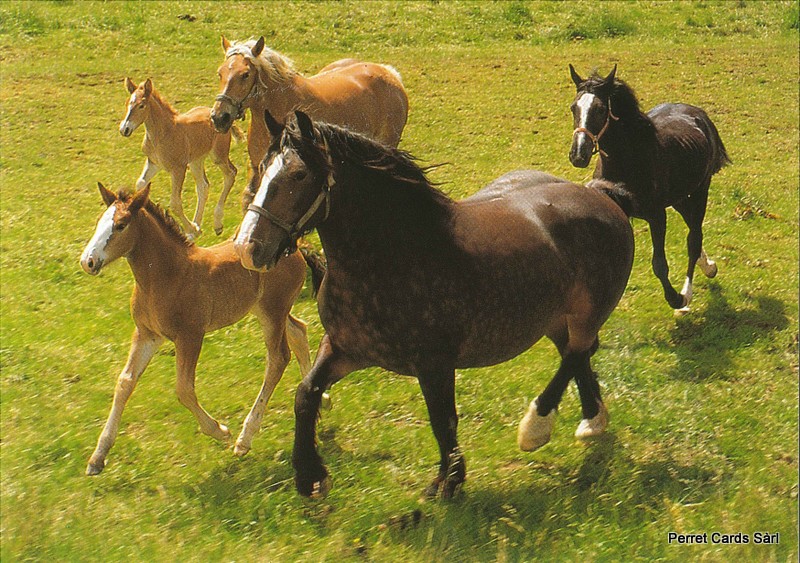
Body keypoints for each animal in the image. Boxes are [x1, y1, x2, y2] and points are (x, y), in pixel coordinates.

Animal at [79, 182, 326, 475]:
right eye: (99, 222)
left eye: (121, 225)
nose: (88, 261)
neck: (165, 276)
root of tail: (295, 247)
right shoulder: (147, 334)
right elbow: (125, 382)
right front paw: (97, 457)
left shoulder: (190, 336)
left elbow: (184, 390)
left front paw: (220, 431)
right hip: (270, 309)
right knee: (299, 331)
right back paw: (321, 398)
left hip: (272, 313)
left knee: (278, 359)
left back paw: (244, 438)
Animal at [120, 77, 242, 239]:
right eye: (127, 103)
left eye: (141, 105)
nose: (124, 129)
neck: (162, 134)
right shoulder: (154, 163)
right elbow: (140, 184)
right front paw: (192, 229)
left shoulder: (178, 169)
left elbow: (175, 203)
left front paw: (189, 229)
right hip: (196, 161)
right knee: (203, 186)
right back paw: (197, 227)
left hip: (218, 156)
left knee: (231, 174)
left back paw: (216, 225)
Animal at [233, 111, 634, 498]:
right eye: (263, 166)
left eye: (299, 174)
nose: (248, 247)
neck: (396, 255)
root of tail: (602, 196)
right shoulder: (344, 349)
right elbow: (305, 394)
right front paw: (309, 477)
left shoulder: (434, 365)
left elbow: (442, 421)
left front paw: (449, 481)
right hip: (554, 319)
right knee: (576, 355)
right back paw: (592, 419)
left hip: (588, 312)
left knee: (576, 354)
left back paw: (536, 427)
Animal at [567, 65, 731, 312]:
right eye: (573, 108)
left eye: (600, 109)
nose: (578, 154)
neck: (628, 161)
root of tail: (698, 114)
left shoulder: (657, 215)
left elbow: (659, 264)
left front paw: (676, 299)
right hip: (679, 198)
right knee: (693, 229)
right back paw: (709, 267)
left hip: (700, 191)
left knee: (694, 238)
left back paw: (686, 296)